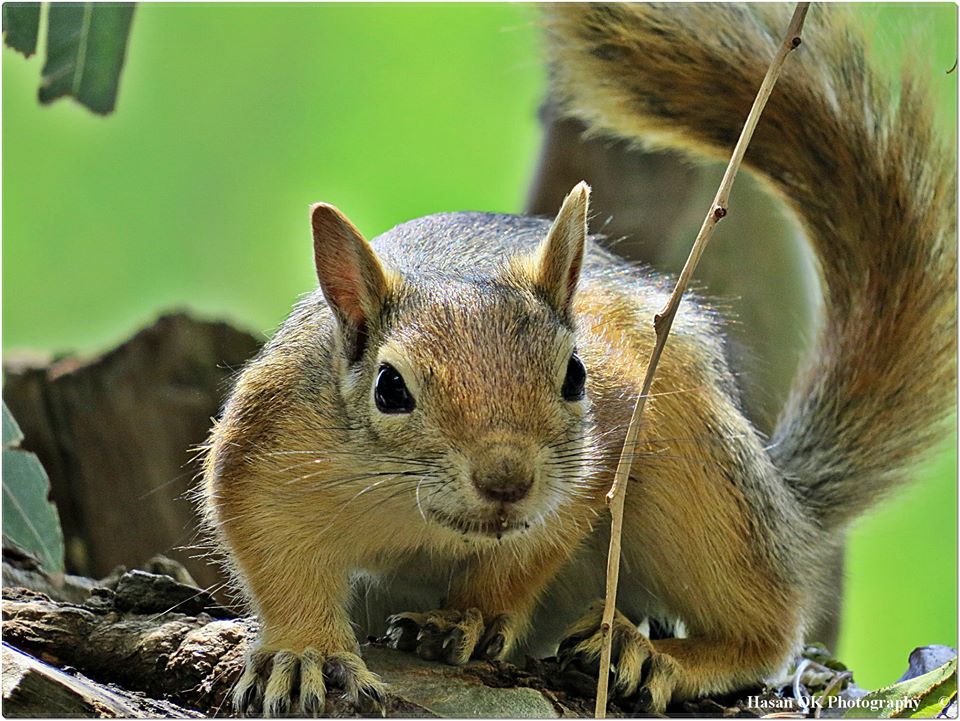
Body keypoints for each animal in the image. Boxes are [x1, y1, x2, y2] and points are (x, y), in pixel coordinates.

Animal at [199, 4, 956, 716]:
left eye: (575, 375)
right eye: (389, 388)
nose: (507, 481)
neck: (422, 521)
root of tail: (786, 504)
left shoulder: (598, 450)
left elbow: (528, 553)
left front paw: (470, 615)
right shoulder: (267, 449)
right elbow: (276, 558)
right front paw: (304, 651)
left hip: (704, 479)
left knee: (763, 628)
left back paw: (656, 653)